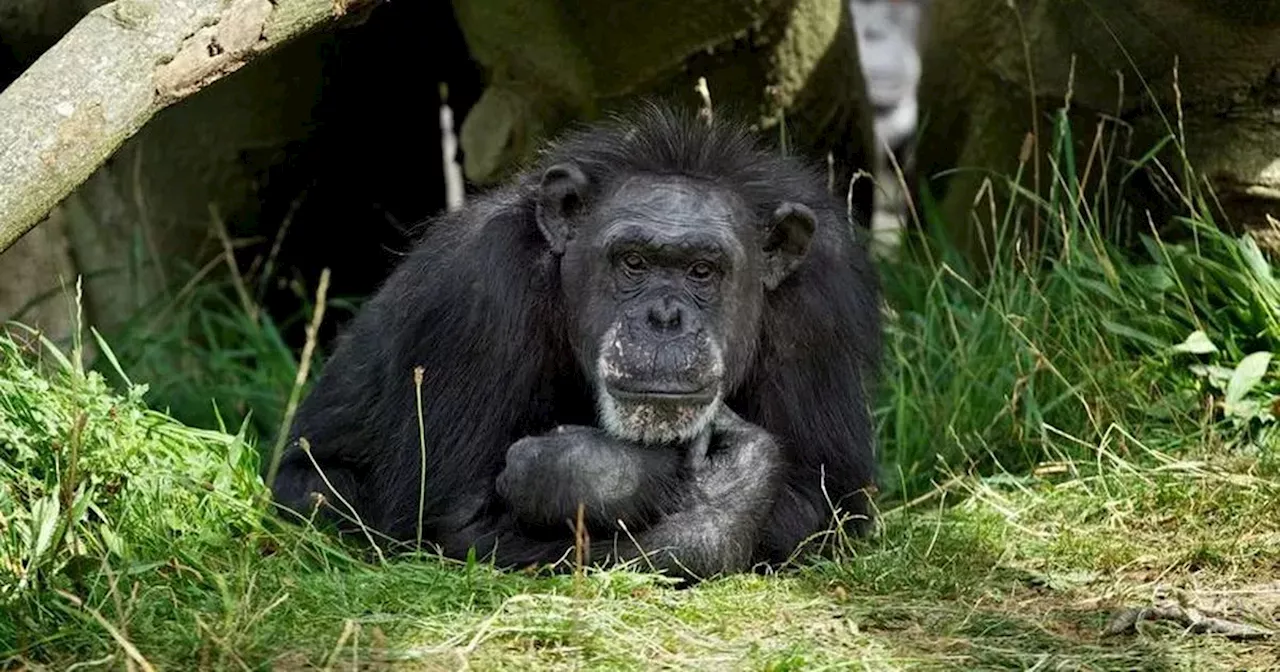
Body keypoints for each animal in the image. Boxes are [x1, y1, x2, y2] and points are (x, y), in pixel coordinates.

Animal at [272, 102, 880, 578]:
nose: (664, 317)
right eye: (633, 262)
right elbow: (456, 526)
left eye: (702, 271)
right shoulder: (478, 292)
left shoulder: (820, 308)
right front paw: (632, 477)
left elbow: (820, 502)